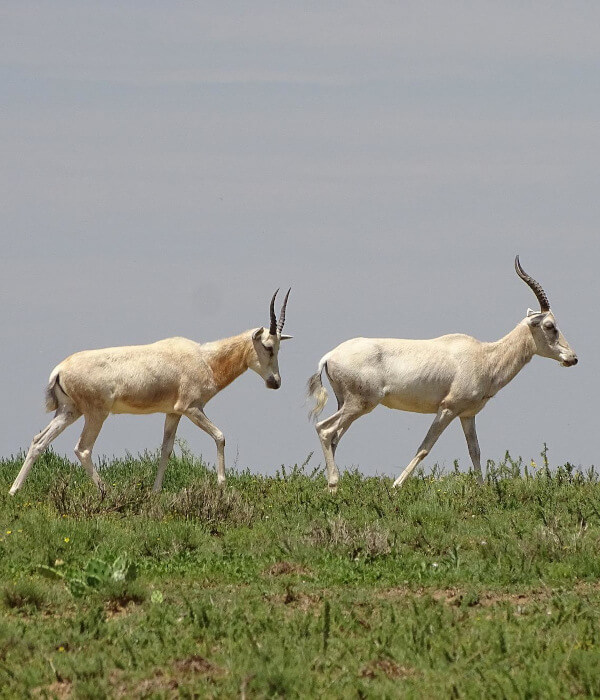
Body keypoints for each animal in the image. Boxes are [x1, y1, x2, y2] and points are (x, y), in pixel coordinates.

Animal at [8, 288, 290, 492]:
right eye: (267, 346)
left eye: (279, 346)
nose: (275, 382)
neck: (204, 358)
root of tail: (59, 369)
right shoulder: (192, 409)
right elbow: (220, 436)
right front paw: (222, 486)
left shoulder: (173, 413)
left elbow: (166, 450)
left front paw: (155, 492)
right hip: (96, 414)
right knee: (83, 449)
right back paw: (106, 492)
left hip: (69, 411)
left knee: (39, 441)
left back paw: (14, 491)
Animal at [308, 262, 580, 492]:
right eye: (549, 326)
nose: (572, 358)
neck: (485, 356)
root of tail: (330, 355)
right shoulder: (447, 409)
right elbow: (424, 447)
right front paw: (396, 487)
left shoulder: (467, 414)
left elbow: (475, 450)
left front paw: (483, 491)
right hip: (359, 405)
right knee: (325, 429)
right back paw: (334, 485)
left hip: (347, 405)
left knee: (334, 437)